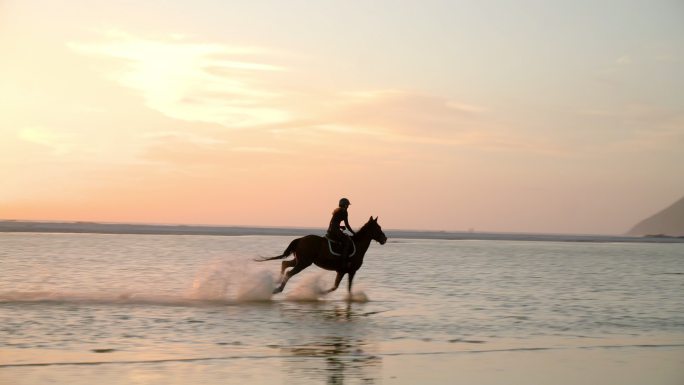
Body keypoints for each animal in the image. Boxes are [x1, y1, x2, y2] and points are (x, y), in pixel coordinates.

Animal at [255, 216, 384, 294]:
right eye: (378, 227)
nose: (385, 239)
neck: (358, 245)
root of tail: (301, 239)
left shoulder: (342, 271)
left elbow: (336, 287)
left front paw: (320, 293)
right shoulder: (350, 271)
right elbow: (344, 288)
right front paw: (320, 293)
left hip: (299, 260)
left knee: (285, 263)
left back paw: (277, 282)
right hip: (304, 262)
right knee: (289, 273)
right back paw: (278, 289)